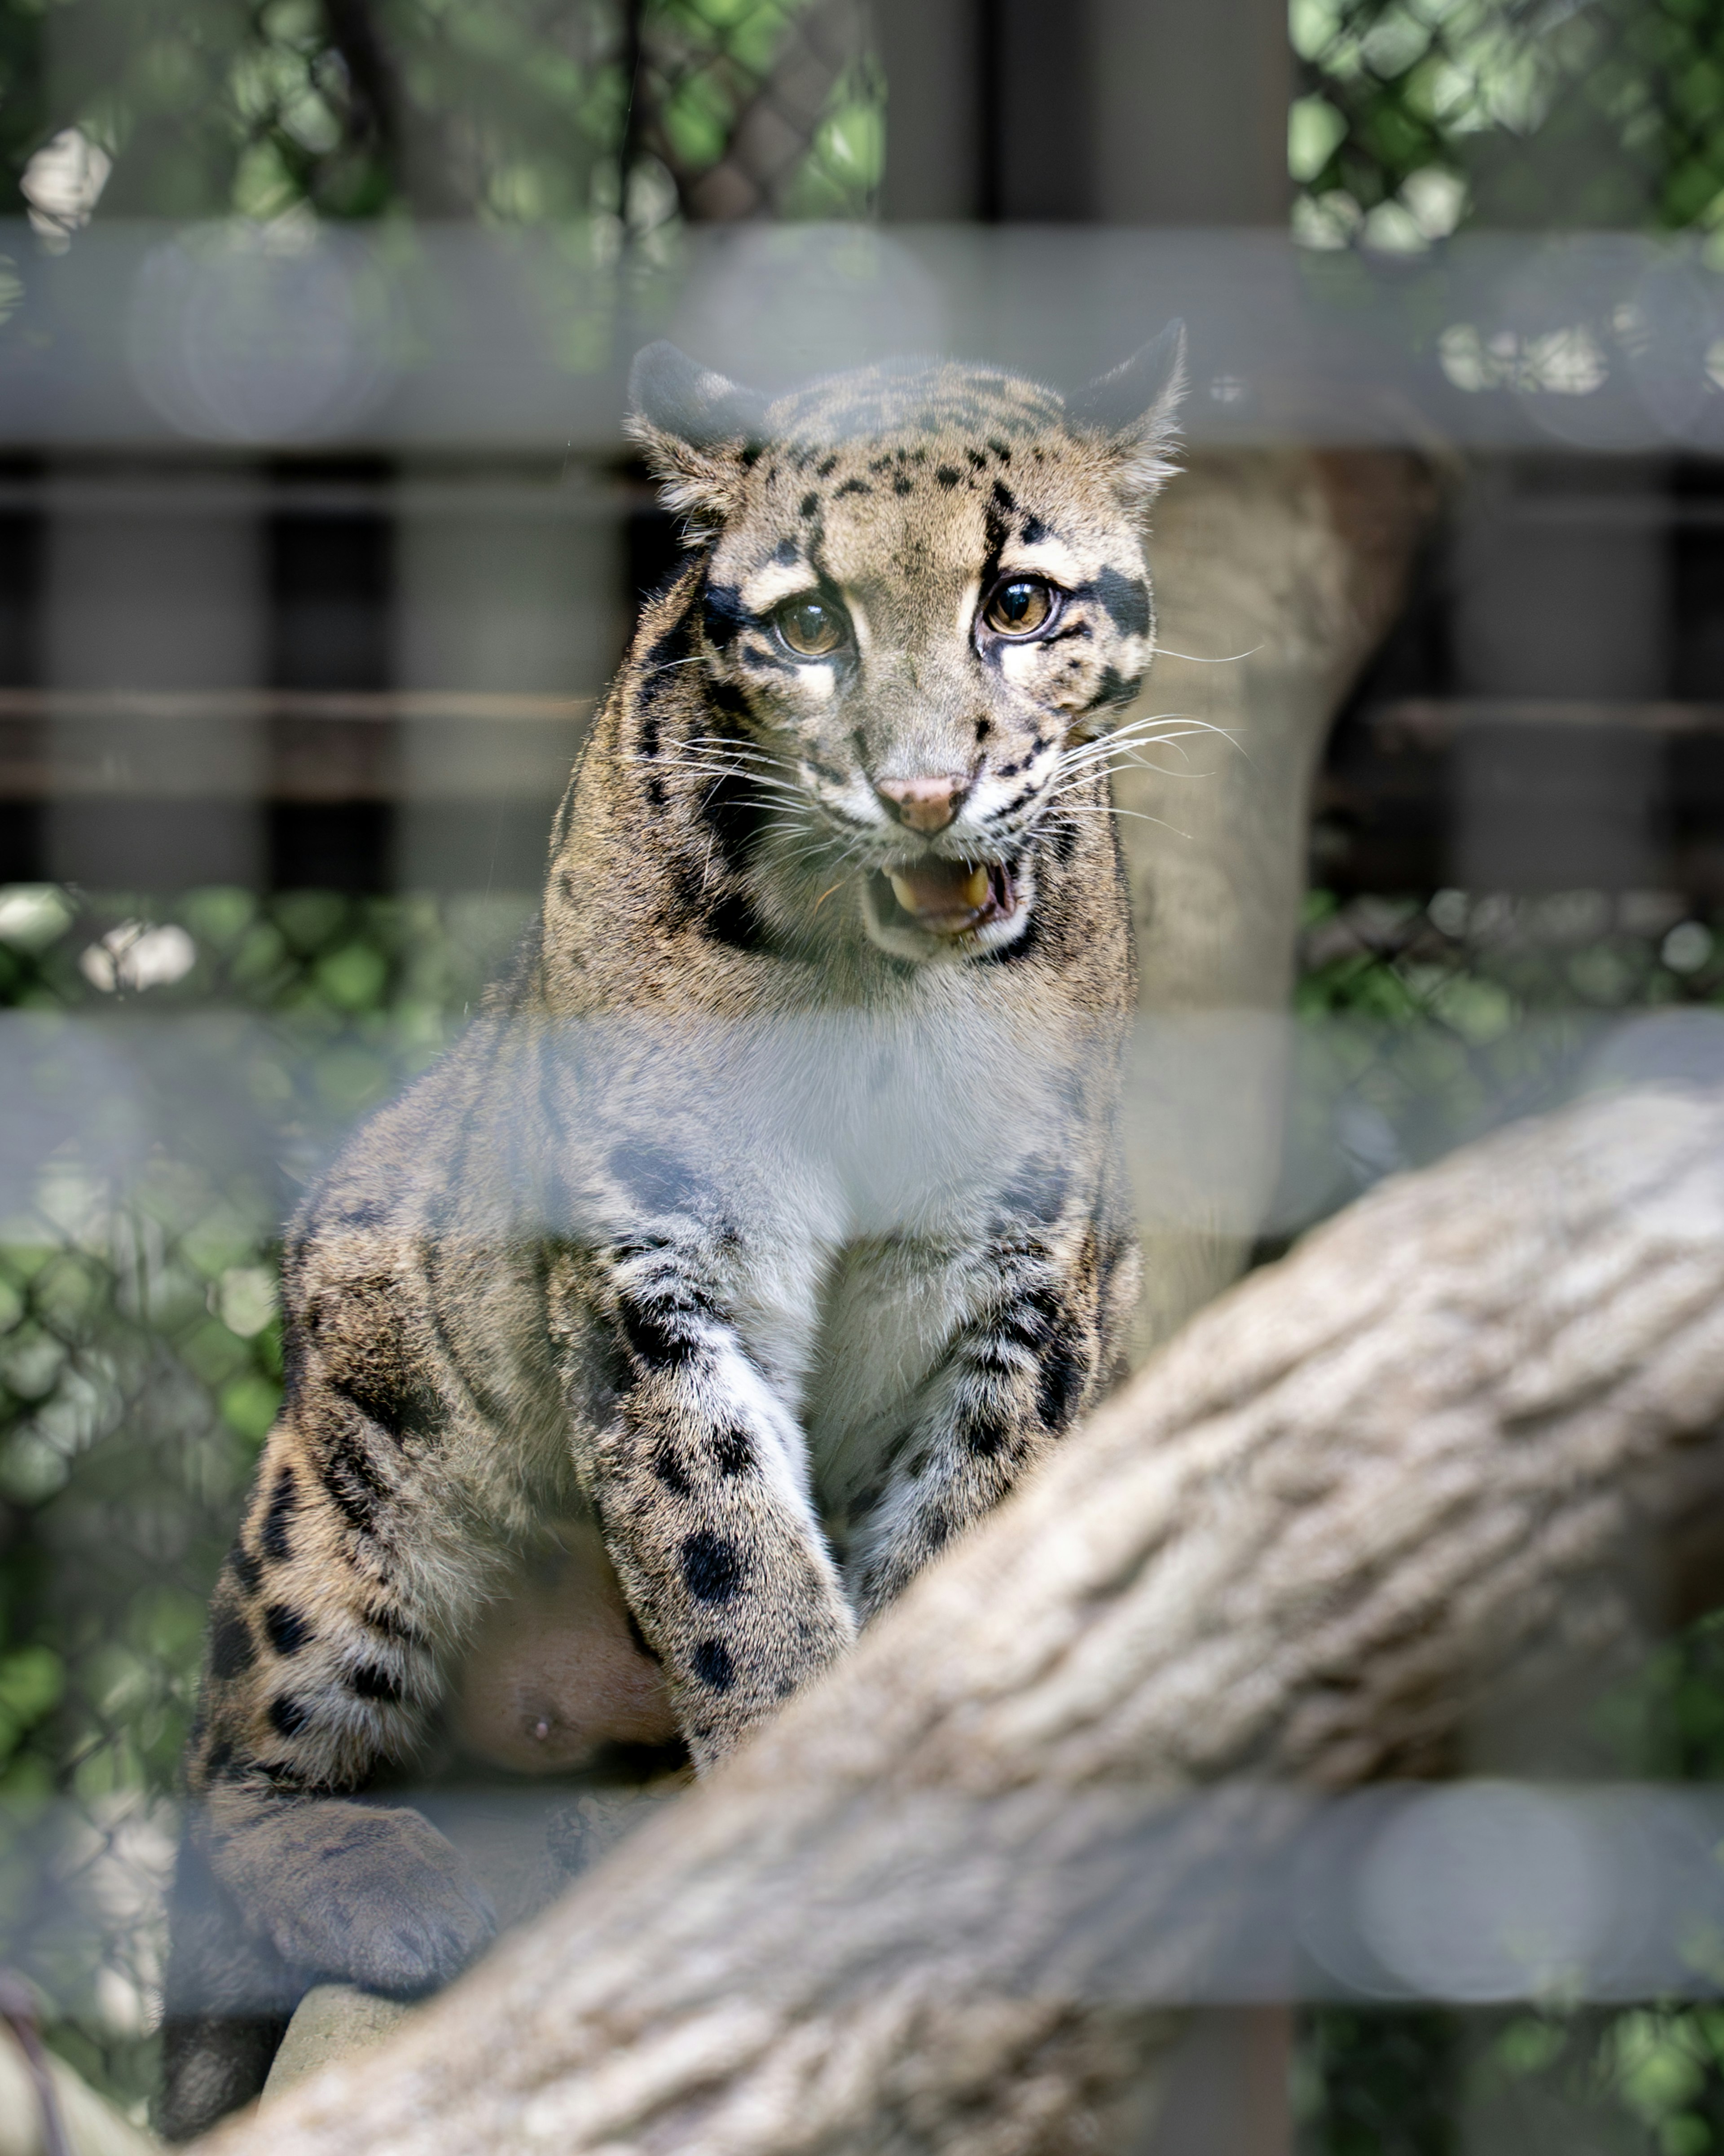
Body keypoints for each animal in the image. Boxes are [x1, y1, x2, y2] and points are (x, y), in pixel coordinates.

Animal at [158, 319, 1189, 2138]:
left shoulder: (1020, 1283)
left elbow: (947, 1548)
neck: (874, 988)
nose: (926, 791)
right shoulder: (657, 1263)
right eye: (809, 623)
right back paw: (383, 1877)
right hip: (343, 1470)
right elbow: (730, 1549)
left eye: (1017, 600)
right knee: (228, 1771)